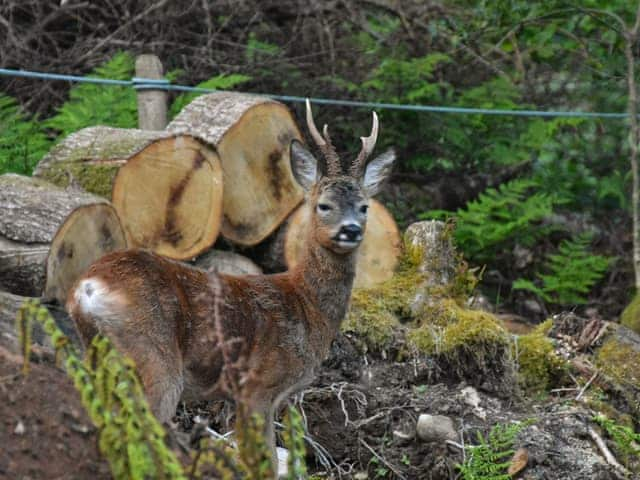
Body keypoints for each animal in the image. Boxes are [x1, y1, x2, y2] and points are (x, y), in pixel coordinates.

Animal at [66, 98, 396, 472]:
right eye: (323, 205)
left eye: (364, 207)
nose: (351, 229)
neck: (305, 303)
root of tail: (87, 287)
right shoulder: (258, 385)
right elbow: (264, 463)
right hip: (153, 357)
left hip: (98, 357)